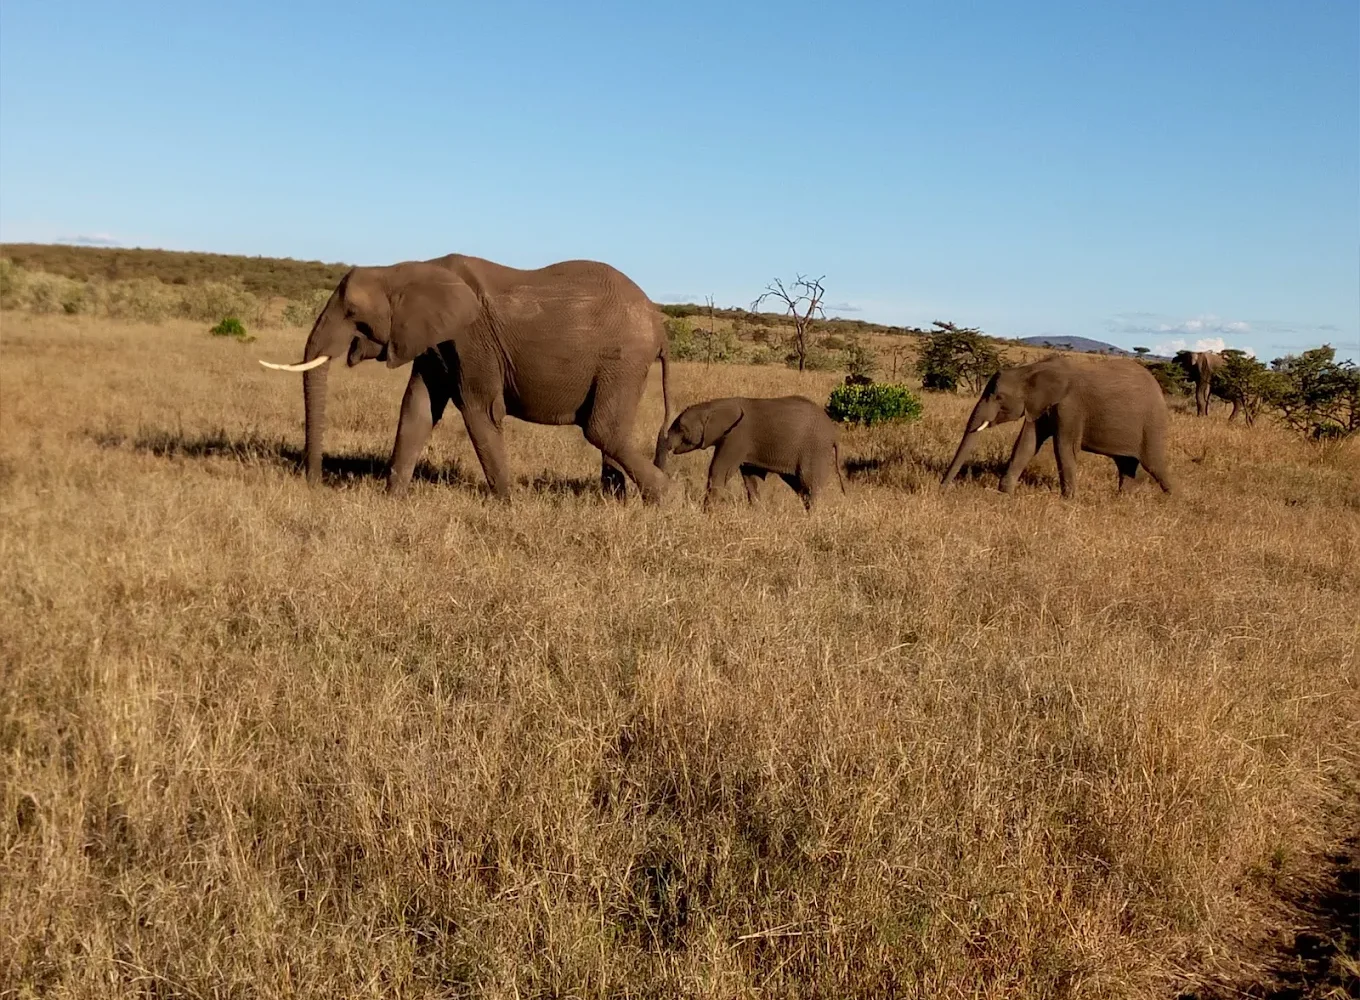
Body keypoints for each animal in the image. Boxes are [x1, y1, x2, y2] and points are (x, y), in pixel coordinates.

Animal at [258, 253, 674, 503]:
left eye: (352, 312)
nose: (314, 484)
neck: (402, 270)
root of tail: (658, 322)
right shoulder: (434, 343)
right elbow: (417, 410)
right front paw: (391, 499)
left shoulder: (473, 341)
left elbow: (479, 411)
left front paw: (508, 505)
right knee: (609, 431)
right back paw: (617, 501)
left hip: (623, 359)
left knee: (601, 428)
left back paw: (669, 498)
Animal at [660, 395, 846, 510]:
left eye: (680, 427)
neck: (713, 406)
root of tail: (834, 434)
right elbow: (750, 477)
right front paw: (758, 512)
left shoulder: (736, 437)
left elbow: (719, 470)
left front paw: (707, 513)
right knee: (800, 486)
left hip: (816, 450)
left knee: (809, 484)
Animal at [940, 355, 1174, 498]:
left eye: (999, 397)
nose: (941, 488)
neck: (1031, 370)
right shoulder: (1040, 406)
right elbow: (1026, 444)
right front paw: (1004, 493)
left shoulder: (1070, 407)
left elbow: (1064, 447)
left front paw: (1068, 500)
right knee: (1125, 464)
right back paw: (1122, 499)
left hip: (1152, 423)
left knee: (1154, 464)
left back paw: (1176, 502)